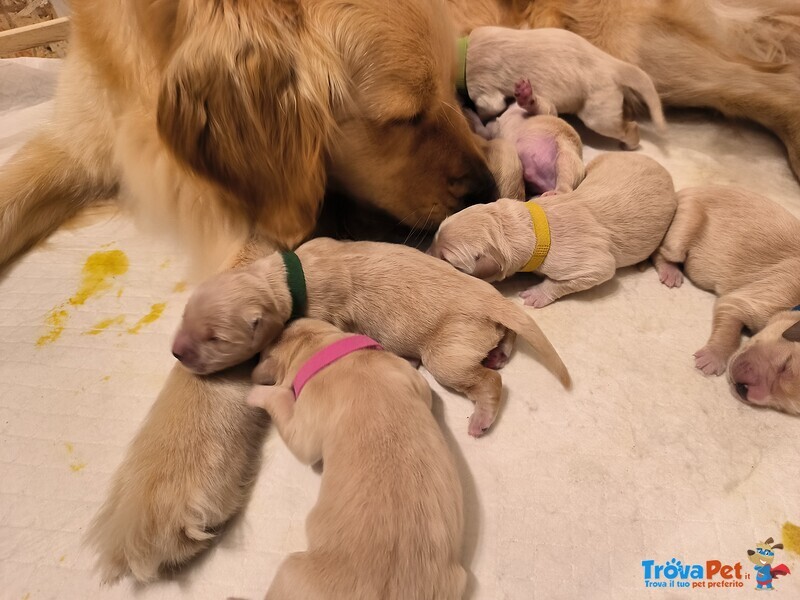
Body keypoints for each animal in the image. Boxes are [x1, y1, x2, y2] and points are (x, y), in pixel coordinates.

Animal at [173, 237, 568, 438]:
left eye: (217, 339)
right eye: (184, 313)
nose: (176, 352)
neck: (284, 276)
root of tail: (492, 300)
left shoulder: (325, 315)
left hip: (447, 355)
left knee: (488, 381)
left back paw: (480, 417)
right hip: (487, 327)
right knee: (507, 337)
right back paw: (499, 353)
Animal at [247, 318, 466, 600]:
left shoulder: (303, 430)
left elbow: (282, 405)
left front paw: (257, 393)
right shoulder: (412, 379)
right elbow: (426, 392)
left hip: (290, 570)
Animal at [424, 152, 676, 308]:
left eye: (447, 260)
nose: (423, 255)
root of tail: (662, 168)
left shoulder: (591, 264)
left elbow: (577, 277)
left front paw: (537, 294)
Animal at [466, 27, 664, 150]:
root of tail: (612, 64)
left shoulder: (482, 90)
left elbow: (487, 109)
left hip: (599, 116)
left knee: (629, 128)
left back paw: (629, 144)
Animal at [648, 186, 800, 412]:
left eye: (783, 407)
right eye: (785, 364)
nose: (743, 391)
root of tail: (686, 190)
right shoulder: (762, 295)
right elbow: (729, 331)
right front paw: (713, 357)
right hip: (682, 228)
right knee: (660, 251)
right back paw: (670, 271)